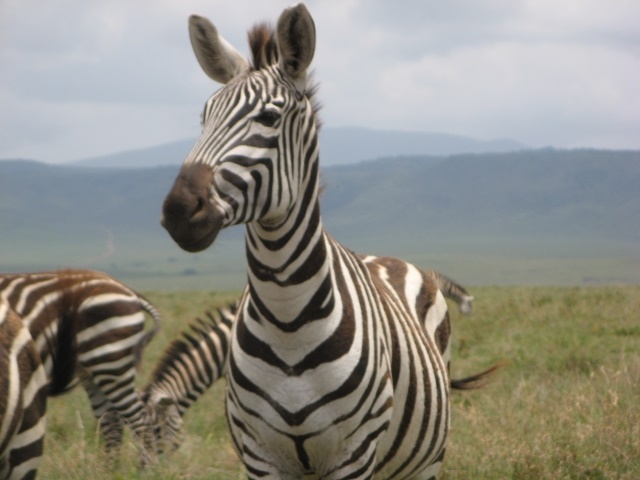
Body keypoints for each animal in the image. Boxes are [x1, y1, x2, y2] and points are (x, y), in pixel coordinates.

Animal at [0, 268, 161, 460]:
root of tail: (129, 292)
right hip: (95, 371)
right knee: (111, 423)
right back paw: (108, 468)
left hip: (110, 361)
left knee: (139, 420)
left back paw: (147, 466)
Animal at [161, 5, 496, 478]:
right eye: (204, 117)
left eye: (268, 118)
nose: (177, 210)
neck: (286, 320)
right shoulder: (259, 456)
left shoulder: (353, 456)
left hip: (425, 460)